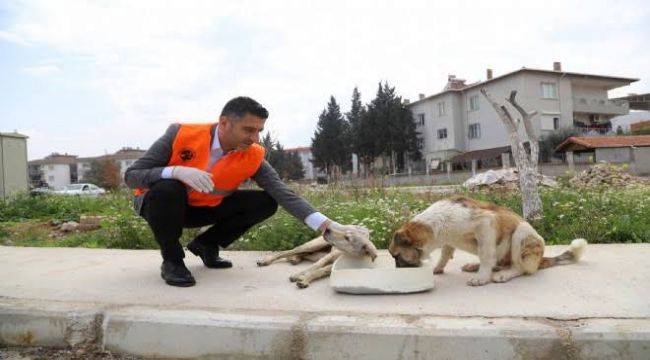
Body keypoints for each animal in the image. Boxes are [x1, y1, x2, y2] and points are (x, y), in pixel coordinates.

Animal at [390, 195, 588, 286]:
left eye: (396, 256)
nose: (397, 270)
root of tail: (541, 260)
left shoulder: (485, 224)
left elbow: (486, 256)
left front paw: (482, 278)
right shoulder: (449, 240)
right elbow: (445, 253)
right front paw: (439, 267)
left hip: (521, 234)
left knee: (521, 268)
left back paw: (503, 274)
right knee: (498, 262)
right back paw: (475, 266)